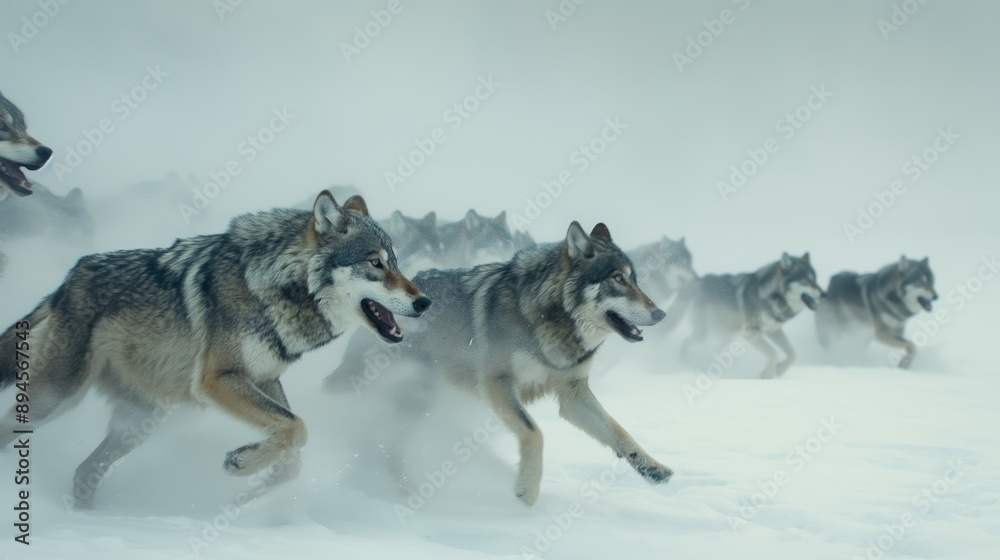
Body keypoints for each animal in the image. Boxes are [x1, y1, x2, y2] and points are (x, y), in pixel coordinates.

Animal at [0, 192, 431, 508]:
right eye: (375, 263)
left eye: (396, 262)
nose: (425, 302)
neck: (276, 286)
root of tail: (66, 280)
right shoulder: (216, 380)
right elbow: (298, 427)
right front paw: (242, 465)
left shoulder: (264, 378)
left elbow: (294, 444)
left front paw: (258, 480)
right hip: (56, 398)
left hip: (138, 423)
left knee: (84, 472)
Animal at [326, 221, 671, 505]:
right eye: (617, 279)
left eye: (636, 280)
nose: (661, 314)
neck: (549, 318)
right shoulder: (497, 381)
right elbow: (535, 433)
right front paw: (527, 491)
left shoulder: (573, 393)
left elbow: (619, 432)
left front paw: (653, 468)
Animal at [662, 253, 824, 378]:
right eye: (806, 280)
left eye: (815, 279)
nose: (824, 294)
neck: (773, 298)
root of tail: (698, 280)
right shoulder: (750, 333)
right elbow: (773, 352)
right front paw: (767, 374)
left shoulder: (774, 331)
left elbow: (792, 354)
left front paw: (779, 370)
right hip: (705, 335)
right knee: (686, 342)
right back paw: (683, 363)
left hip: (724, 336)